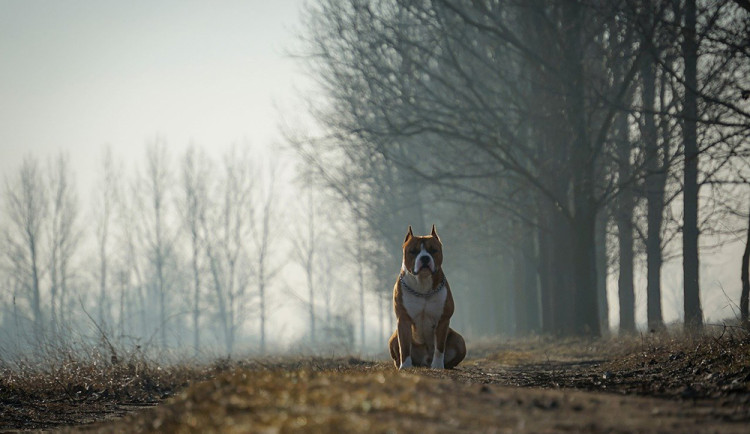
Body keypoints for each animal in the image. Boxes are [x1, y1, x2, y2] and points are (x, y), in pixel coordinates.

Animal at [390, 224, 468, 370]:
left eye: (433, 250)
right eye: (413, 251)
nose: (425, 258)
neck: (423, 286)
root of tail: (424, 361)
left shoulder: (443, 320)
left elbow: (440, 348)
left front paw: (437, 366)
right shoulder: (403, 320)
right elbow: (404, 346)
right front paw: (405, 366)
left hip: (460, 341)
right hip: (392, 338)